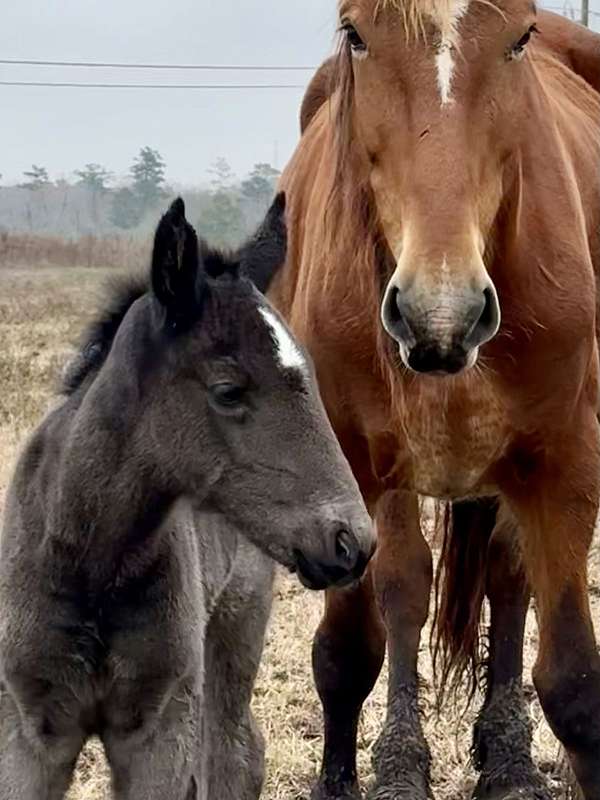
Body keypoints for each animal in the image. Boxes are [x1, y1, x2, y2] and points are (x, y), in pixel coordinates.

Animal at [270, 4, 600, 800]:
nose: (439, 313)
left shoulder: (564, 470)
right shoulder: (359, 467)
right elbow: (361, 635)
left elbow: (573, 680)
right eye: (357, 33)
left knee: (508, 583)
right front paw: (378, 771)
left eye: (519, 38)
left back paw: (508, 758)